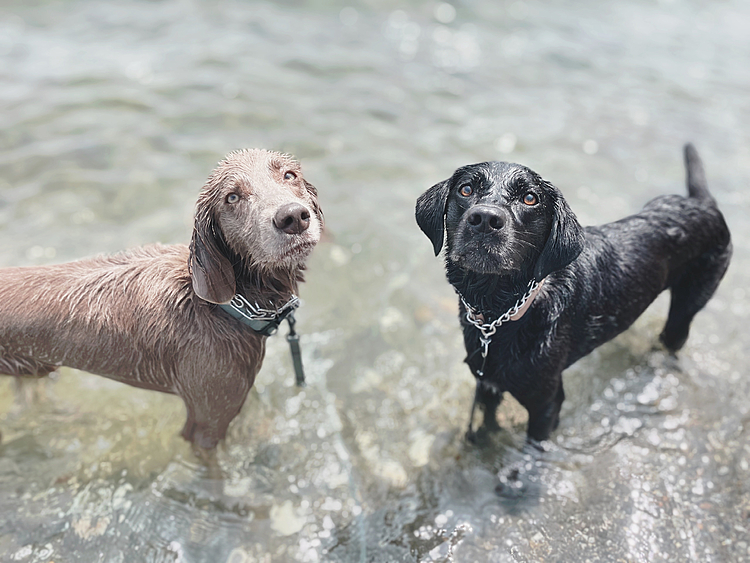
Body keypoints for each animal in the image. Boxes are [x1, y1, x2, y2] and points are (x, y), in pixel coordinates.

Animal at [414, 143, 732, 442]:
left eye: (530, 198)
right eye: (466, 189)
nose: (484, 219)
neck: (502, 313)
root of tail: (703, 204)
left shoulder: (547, 404)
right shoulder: (488, 385)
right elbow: (487, 423)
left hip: (688, 305)